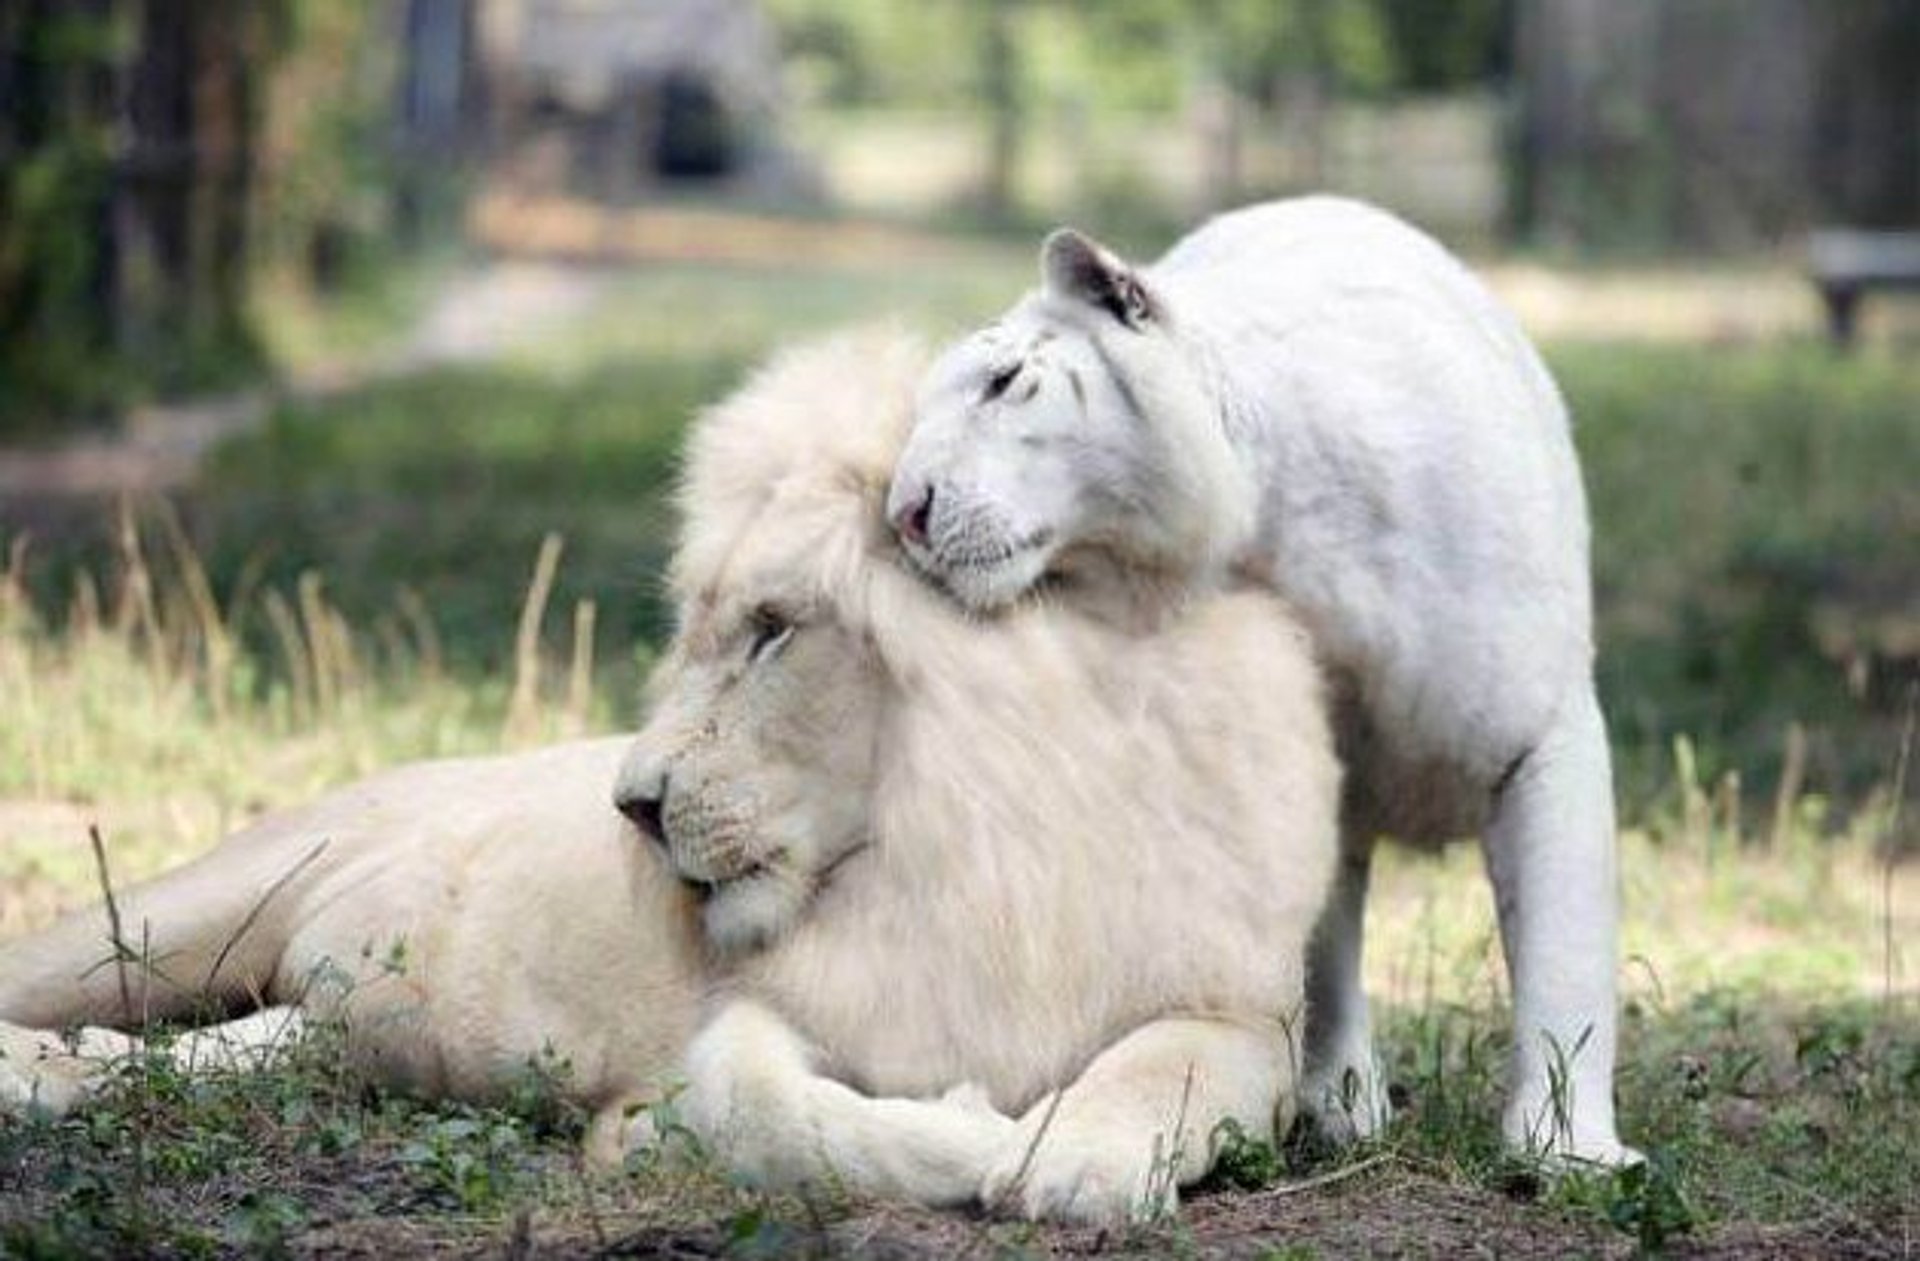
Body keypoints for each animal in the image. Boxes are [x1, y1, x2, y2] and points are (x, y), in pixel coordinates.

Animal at [0, 330, 1336, 1228]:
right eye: (702, 631)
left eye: (772, 630)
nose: (631, 806)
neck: (976, 841)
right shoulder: (747, 1024)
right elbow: (777, 1117)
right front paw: (970, 1131)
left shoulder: (1242, 1011)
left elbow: (1163, 1065)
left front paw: (1077, 1159)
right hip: (181, 912)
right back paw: (29, 1069)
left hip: (322, 1022)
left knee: (205, 1051)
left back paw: (60, 1075)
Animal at [883, 199, 1635, 1166]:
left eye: (1003, 380)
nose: (904, 513)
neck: (1276, 523)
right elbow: (1318, 943)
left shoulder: (1540, 733)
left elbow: (1564, 947)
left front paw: (1569, 1150)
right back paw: (1342, 1104)